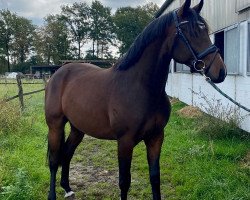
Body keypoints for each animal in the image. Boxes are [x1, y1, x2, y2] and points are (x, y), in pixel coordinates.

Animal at [45, 0, 227, 199]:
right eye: (191, 32)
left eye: (205, 30)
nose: (220, 71)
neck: (142, 89)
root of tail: (58, 73)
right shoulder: (125, 141)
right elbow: (124, 182)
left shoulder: (156, 137)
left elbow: (155, 177)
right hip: (55, 125)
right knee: (54, 160)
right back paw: (53, 194)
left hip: (78, 128)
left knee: (67, 153)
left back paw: (67, 188)